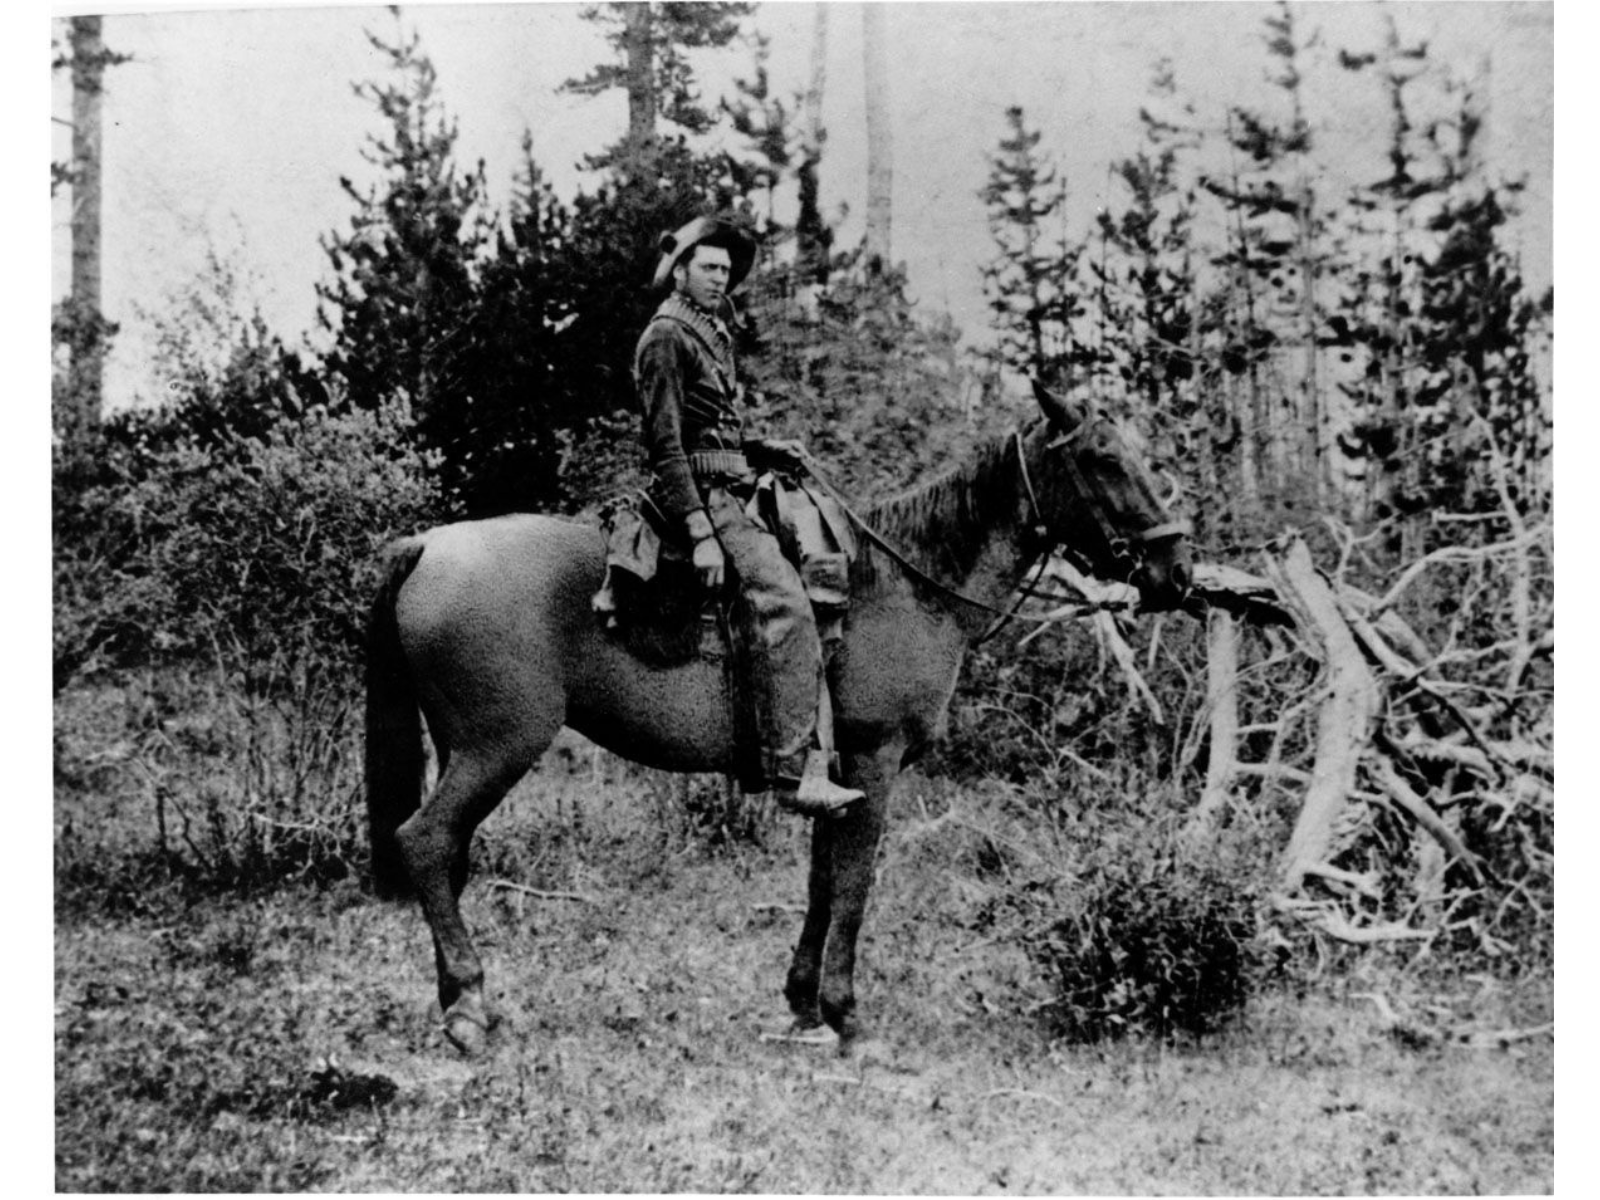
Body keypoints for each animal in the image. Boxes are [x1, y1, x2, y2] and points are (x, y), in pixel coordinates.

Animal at [363, 380, 1190, 1056]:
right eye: (1104, 459)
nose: (1175, 570)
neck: (902, 583)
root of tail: (429, 544)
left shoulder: (839, 775)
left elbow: (823, 880)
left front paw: (803, 1004)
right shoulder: (873, 761)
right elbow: (853, 883)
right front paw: (848, 1016)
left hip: (464, 748)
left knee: (447, 852)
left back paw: (464, 1003)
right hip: (497, 747)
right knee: (426, 842)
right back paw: (469, 1009)